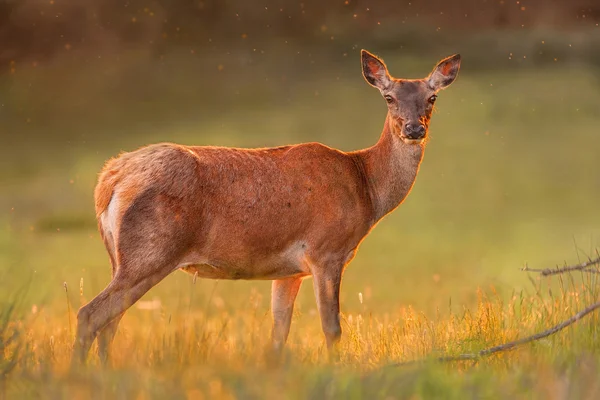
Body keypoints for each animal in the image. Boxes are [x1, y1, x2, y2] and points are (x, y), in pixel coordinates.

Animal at [72, 48, 462, 364]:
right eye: (389, 97)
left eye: (431, 98)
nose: (414, 129)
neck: (365, 186)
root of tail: (110, 179)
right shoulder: (326, 251)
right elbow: (332, 328)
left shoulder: (288, 270)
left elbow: (279, 333)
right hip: (151, 251)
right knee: (91, 314)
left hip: (121, 258)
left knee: (110, 323)